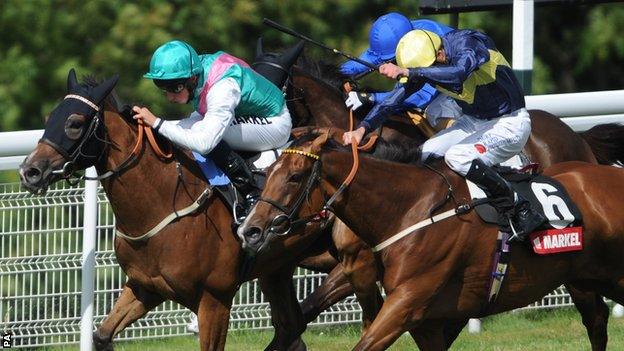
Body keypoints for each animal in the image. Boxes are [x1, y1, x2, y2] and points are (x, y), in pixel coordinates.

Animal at [15, 69, 336, 351]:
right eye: (48, 118)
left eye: (75, 123)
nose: (30, 171)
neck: (164, 203)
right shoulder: (146, 286)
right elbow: (103, 335)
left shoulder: (214, 299)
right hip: (277, 269)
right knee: (291, 327)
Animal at [238, 129, 624, 351]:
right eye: (266, 173)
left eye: (295, 177)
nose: (250, 230)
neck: (410, 209)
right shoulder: (427, 319)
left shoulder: (407, 301)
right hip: (588, 278)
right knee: (597, 320)